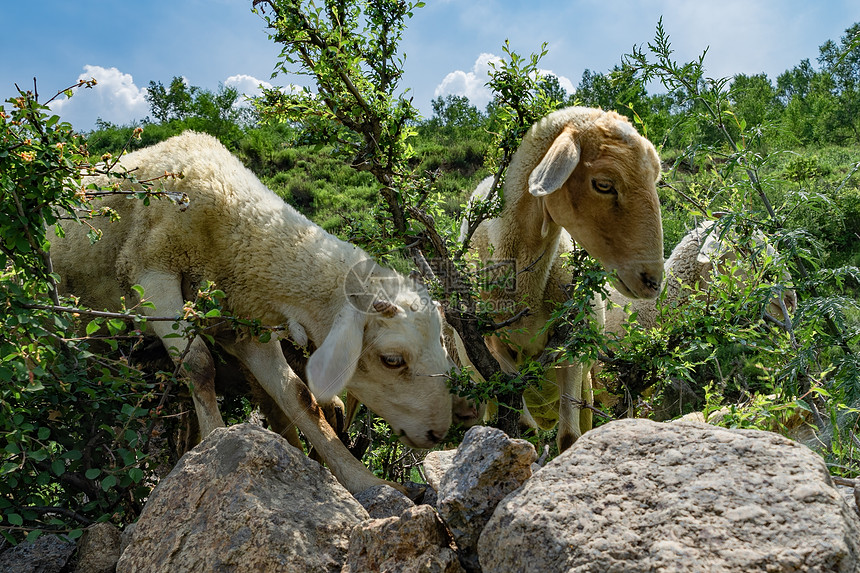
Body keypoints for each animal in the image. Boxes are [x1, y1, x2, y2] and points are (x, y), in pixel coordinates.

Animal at [52, 130, 456, 492]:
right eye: (392, 360)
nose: (438, 432)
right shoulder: (153, 274)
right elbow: (199, 364)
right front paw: (213, 443)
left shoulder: (246, 322)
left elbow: (298, 395)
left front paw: (367, 482)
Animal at [456, 105, 664, 450]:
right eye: (603, 184)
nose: (653, 281)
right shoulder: (486, 342)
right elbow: (517, 408)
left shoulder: (573, 346)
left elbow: (568, 437)